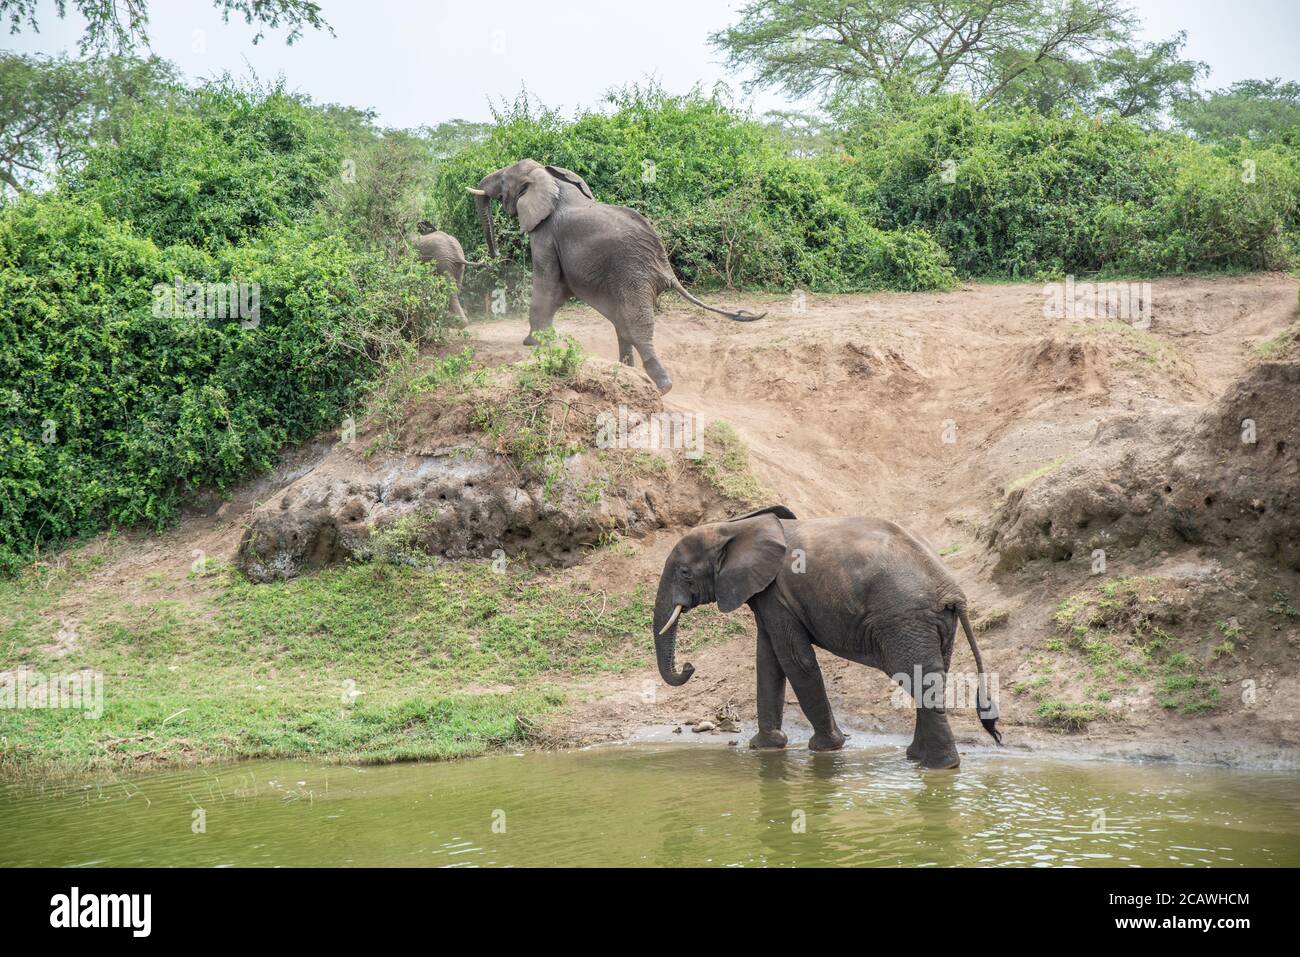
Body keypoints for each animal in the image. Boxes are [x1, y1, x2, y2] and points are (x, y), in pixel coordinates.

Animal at [465, 160, 759, 392]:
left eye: (504, 181)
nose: (493, 255)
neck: (549, 177)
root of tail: (665, 266)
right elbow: (558, 291)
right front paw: (539, 341)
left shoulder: (545, 235)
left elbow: (546, 282)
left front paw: (533, 344)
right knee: (623, 324)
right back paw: (628, 372)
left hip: (633, 273)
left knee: (637, 325)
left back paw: (663, 386)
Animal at [650, 509, 1003, 769]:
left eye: (683, 572)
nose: (689, 666)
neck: (735, 526)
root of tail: (952, 591)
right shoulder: (767, 595)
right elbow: (769, 660)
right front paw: (766, 748)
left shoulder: (777, 594)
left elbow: (794, 660)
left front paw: (825, 748)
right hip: (932, 624)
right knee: (929, 677)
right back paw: (917, 759)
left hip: (904, 620)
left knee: (917, 679)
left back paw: (939, 767)